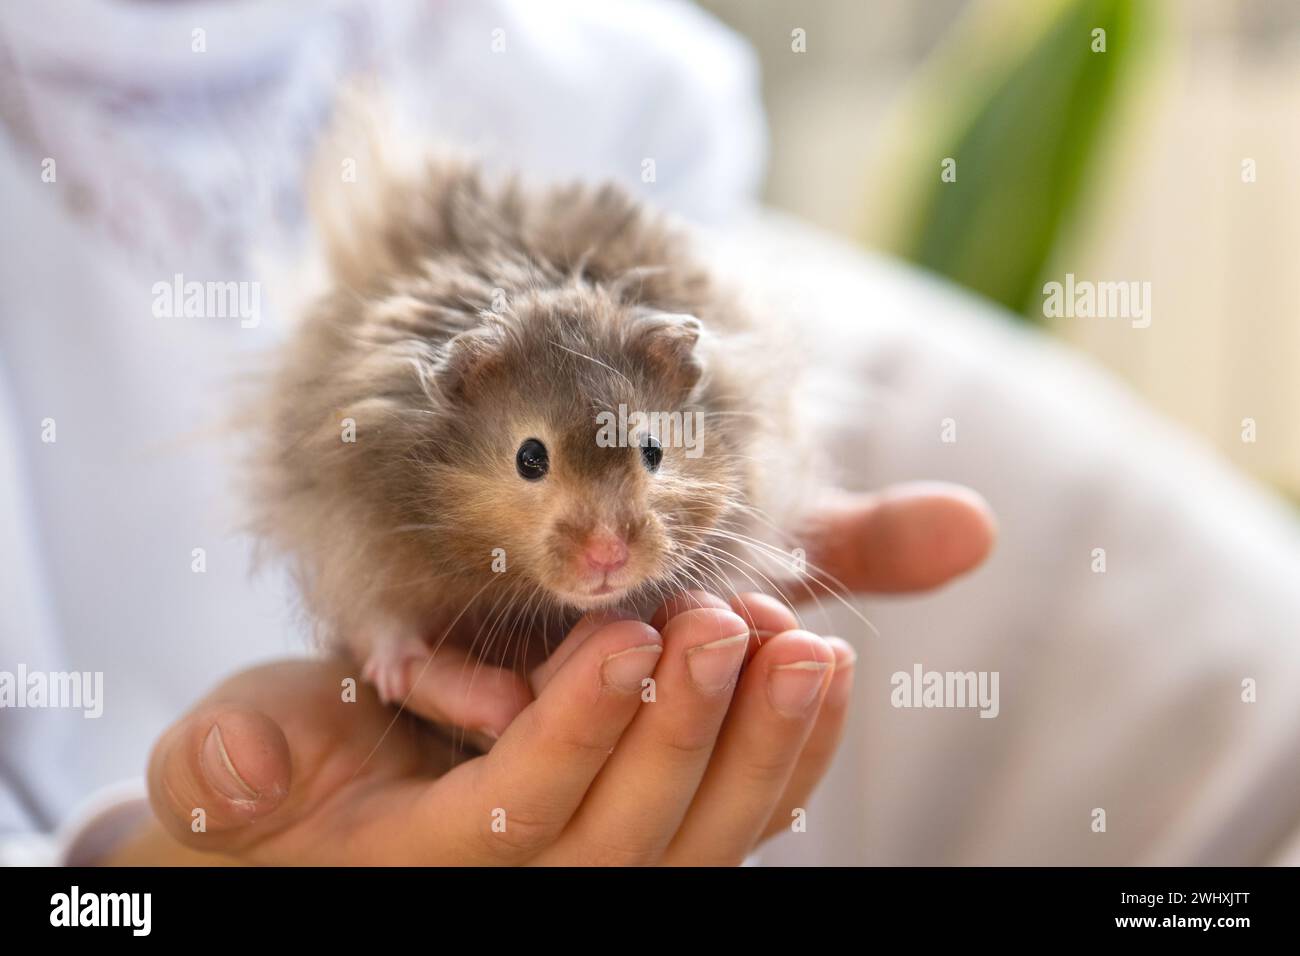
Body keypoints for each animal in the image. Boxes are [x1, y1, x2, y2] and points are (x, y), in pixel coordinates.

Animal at [246, 151, 821, 702]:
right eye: (529, 458)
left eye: (654, 450)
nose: (608, 555)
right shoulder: (349, 525)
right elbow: (383, 617)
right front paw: (393, 673)